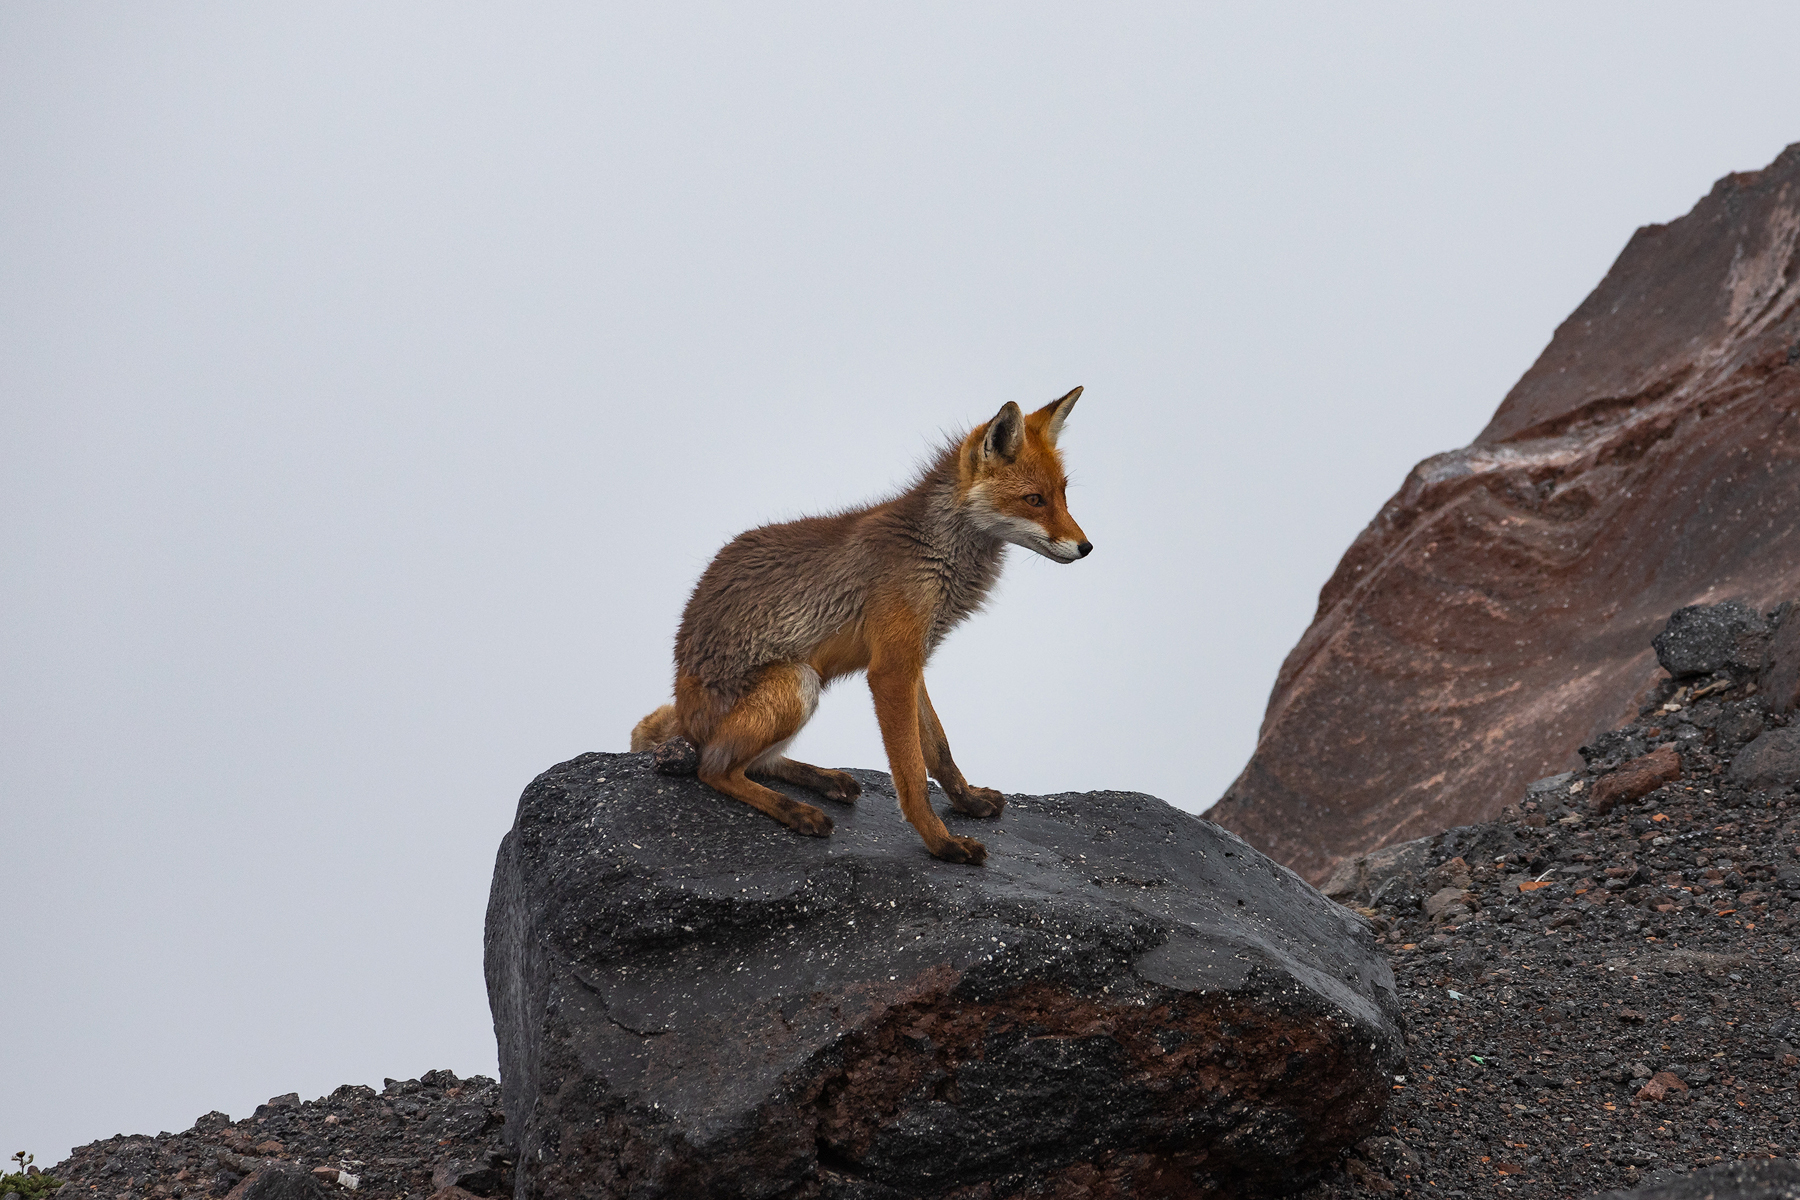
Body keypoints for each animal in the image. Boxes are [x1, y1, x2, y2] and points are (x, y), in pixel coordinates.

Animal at [626, 390, 1087, 867]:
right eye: (1034, 500)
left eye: (1063, 495)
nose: (1087, 547)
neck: (934, 554)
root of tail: (684, 710)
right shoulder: (890, 670)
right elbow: (912, 775)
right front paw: (940, 842)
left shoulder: (911, 662)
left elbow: (939, 751)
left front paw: (967, 802)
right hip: (797, 682)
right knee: (714, 767)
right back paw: (797, 811)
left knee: (754, 762)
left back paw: (825, 779)